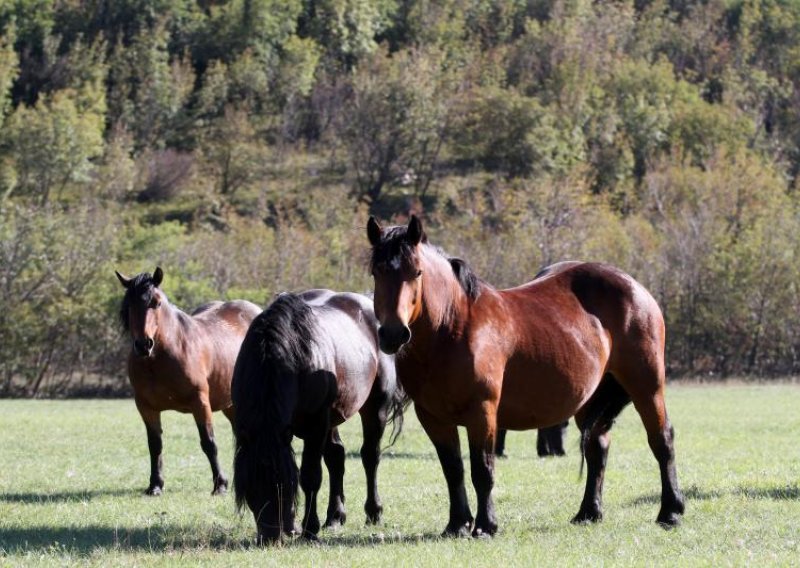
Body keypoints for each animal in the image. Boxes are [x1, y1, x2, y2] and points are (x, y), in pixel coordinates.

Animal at [115, 268, 260, 494]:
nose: (144, 345)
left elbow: (208, 442)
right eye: (128, 305)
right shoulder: (146, 407)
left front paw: (220, 484)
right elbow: (155, 445)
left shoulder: (200, 402)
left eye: (156, 303)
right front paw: (155, 485)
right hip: (231, 404)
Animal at [231, 290, 406, 544]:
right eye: (251, 488)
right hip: (333, 417)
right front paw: (297, 525)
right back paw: (335, 516)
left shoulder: (316, 425)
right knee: (336, 456)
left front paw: (309, 529)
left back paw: (374, 512)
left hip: (375, 407)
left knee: (370, 456)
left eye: (283, 485)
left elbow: (310, 476)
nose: (270, 537)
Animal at [366, 214, 684, 536]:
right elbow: (453, 470)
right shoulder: (433, 417)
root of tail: (635, 287)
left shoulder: (483, 412)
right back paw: (588, 513)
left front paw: (486, 525)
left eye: (416, 272)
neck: (452, 329)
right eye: (376, 272)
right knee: (598, 446)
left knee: (662, 440)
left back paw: (670, 512)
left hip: (647, 386)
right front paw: (457, 524)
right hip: (589, 399)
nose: (393, 334)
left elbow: (482, 469)